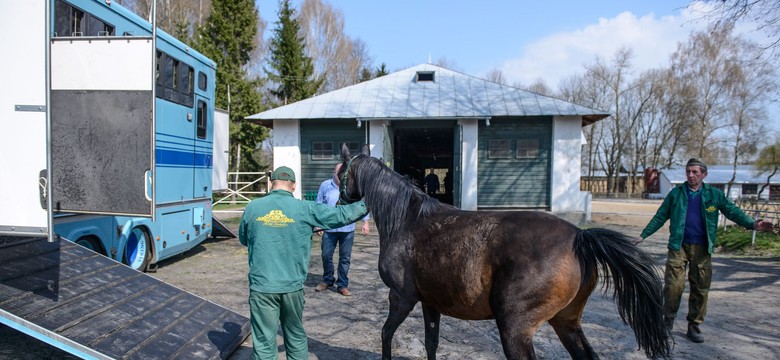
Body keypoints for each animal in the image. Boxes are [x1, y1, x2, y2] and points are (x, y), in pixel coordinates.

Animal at [336, 144, 672, 360]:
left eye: (341, 173)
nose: (338, 201)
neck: (407, 219)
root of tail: (580, 237)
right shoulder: (430, 302)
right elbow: (431, 343)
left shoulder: (402, 298)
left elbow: (385, 335)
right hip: (566, 322)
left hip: (515, 329)